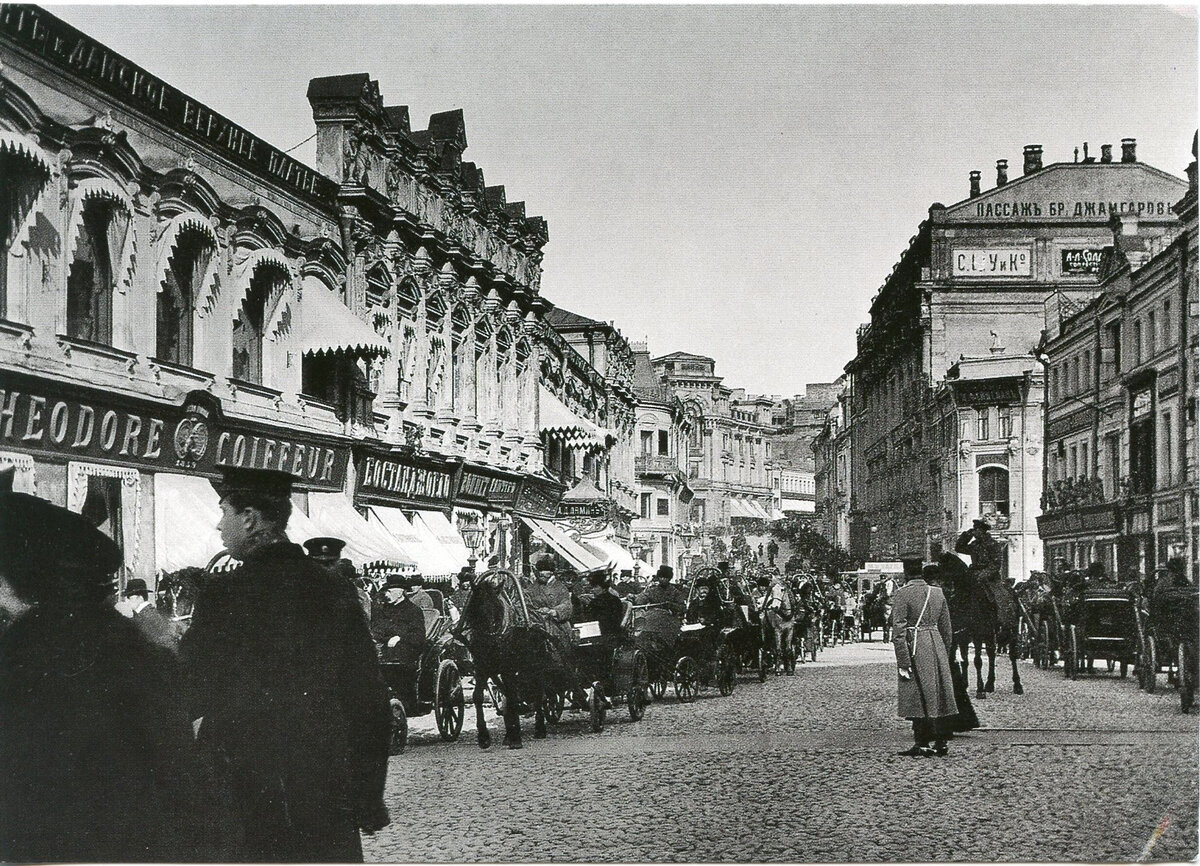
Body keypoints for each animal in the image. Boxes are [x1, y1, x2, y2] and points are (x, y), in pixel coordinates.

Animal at [451, 570, 559, 743]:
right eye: (475, 605)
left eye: (495, 606)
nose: (488, 636)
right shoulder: (481, 668)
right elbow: (478, 696)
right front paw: (484, 735)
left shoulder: (508, 668)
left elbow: (512, 694)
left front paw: (515, 735)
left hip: (535, 666)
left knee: (538, 692)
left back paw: (539, 726)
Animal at [936, 554, 1022, 695]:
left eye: (949, 573)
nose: (945, 594)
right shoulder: (962, 636)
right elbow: (965, 661)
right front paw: (965, 684)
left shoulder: (977, 636)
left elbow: (977, 661)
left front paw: (980, 689)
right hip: (990, 633)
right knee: (991, 654)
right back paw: (990, 684)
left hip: (1011, 630)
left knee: (1012, 655)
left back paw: (1017, 685)